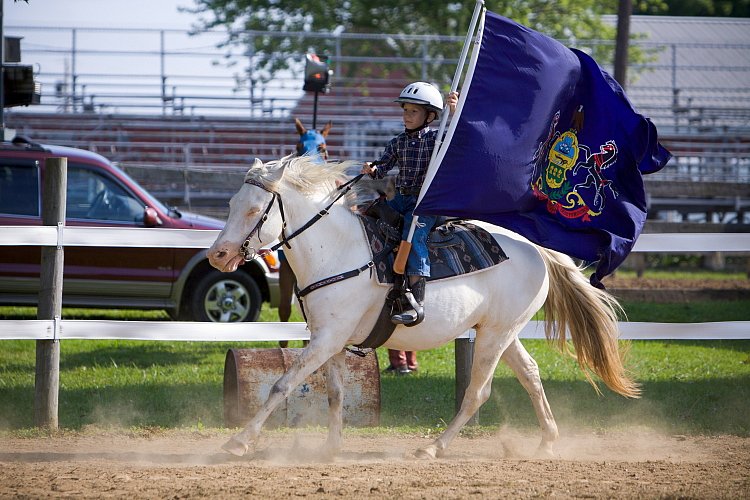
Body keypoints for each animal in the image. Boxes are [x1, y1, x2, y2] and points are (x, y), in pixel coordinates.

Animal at [207, 154, 640, 458]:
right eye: (230, 203)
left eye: (253, 210)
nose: (217, 255)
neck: (338, 250)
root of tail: (535, 248)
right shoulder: (329, 340)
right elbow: (335, 394)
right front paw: (331, 447)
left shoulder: (327, 339)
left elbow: (282, 384)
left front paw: (239, 441)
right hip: (502, 332)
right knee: (531, 375)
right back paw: (547, 442)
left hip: (495, 337)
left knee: (477, 392)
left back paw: (433, 447)